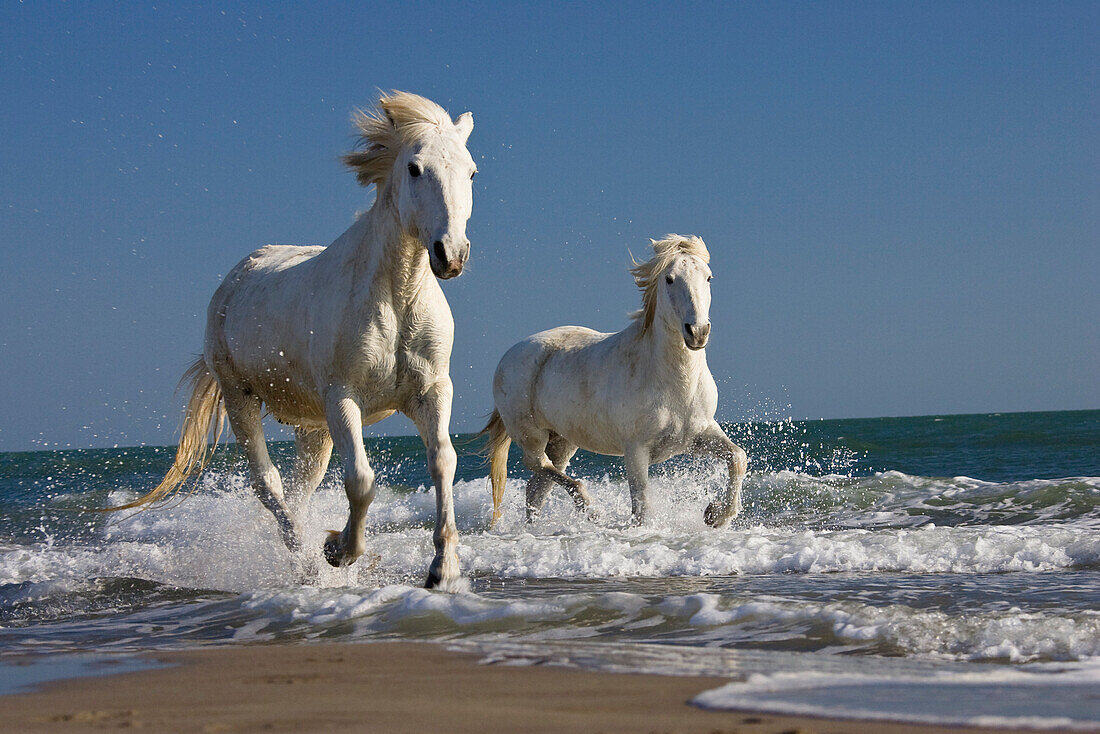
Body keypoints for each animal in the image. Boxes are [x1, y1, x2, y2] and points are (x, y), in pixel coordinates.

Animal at [111, 91, 477, 589]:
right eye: (414, 168)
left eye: (471, 171)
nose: (450, 254)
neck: (397, 296)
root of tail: (235, 277)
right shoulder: (343, 398)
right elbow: (361, 480)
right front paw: (338, 551)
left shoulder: (432, 391)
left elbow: (443, 462)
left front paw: (443, 568)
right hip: (241, 399)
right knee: (269, 485)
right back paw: (305, 561)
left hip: (313, 428)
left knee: (300, 491)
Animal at [484, 235, 748, 528]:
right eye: (669, 279)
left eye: (709, 277)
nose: (697, 332)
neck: (675, 384)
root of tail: (509, 354)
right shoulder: (636, 450)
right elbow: (642, 508)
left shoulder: (697, 435)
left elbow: (738, 457)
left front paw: (715, 515)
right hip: (531, 434)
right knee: (537, 464)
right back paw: (589, 508)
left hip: (562, 442)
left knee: (536, 487)